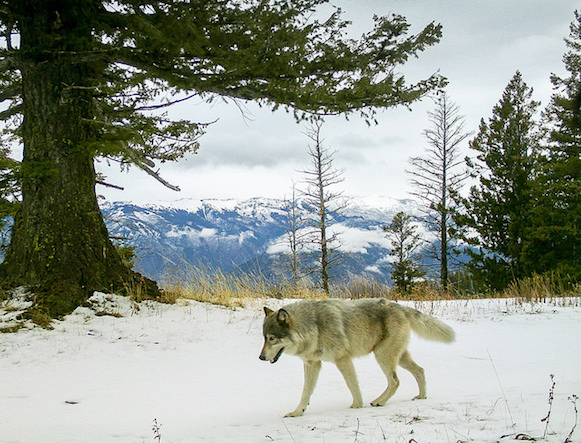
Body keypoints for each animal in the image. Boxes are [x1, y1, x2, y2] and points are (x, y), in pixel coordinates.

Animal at [258, 300, 454, 418]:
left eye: (272, 338)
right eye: (264, 338)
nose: (260, 357)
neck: (314, 327)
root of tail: (399, 306)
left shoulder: (343, 359)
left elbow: (352, 385)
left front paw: (357, 406)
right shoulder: (312, 364)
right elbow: (305, 392)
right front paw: (297, 412)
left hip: (382, 356)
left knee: (395, 381)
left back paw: (379, 401)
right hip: (398, 357)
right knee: (420, 370)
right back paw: (422, 396)